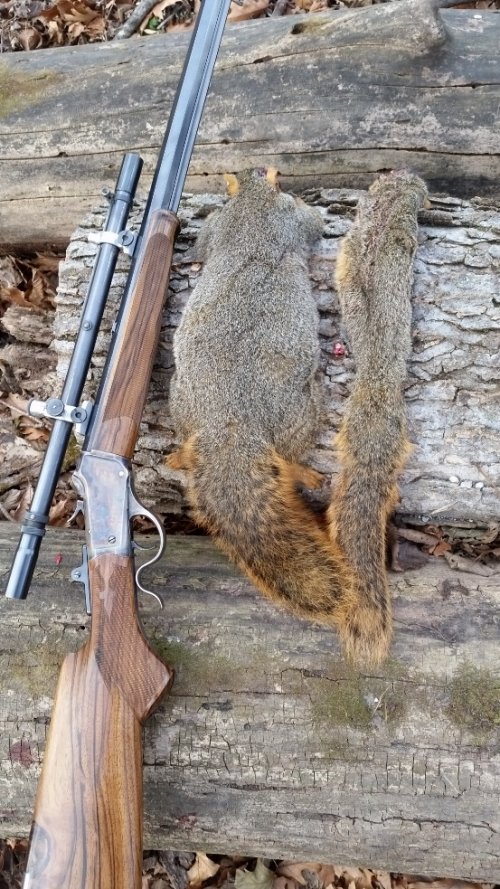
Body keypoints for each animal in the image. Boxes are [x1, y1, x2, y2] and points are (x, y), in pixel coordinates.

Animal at [167, 167, 427, 665]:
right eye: (278, 178)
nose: (271, 173)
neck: (252, 204)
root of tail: (232, 426)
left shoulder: (220, 224)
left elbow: (204, 241)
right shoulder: (290, 218)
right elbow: (310, 222)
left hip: (180, 400)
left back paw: (176, 457)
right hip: (303, 412)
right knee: (290, 454)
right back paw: (305, 472)